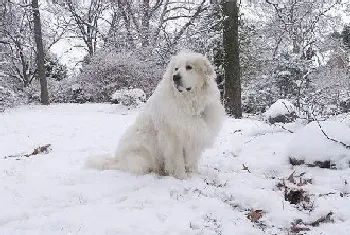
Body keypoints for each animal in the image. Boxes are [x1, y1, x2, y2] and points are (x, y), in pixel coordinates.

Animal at [86, 50, 226, 179]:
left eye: (189, 67)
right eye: (176, 69)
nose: (175, 77)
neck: (189, 103)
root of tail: (117, 160)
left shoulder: (194, 136)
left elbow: (193, 161)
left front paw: (195, 175)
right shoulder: (173, 140)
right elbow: (178, 162)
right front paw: (182, 178)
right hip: (142, 156)